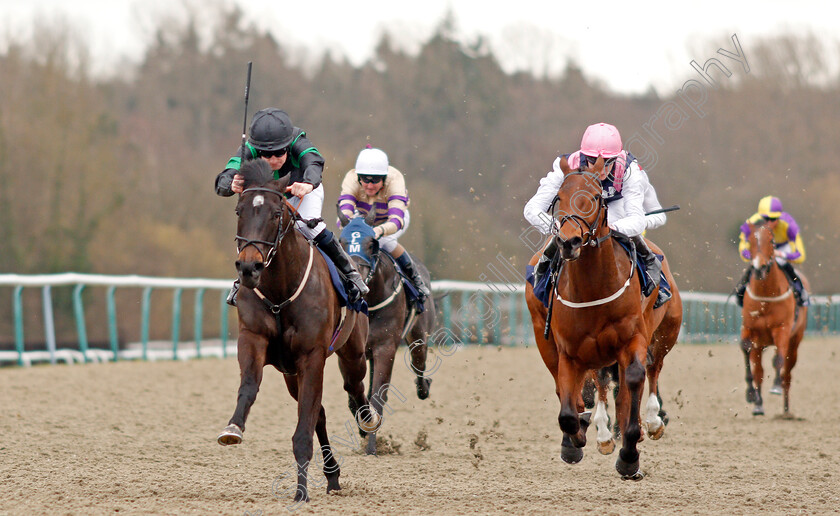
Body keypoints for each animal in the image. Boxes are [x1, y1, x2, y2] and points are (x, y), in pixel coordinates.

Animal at [215, 159, 378, 502]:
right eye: (239, 210)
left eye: (277, 213)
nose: (249, 268)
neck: (280, 290)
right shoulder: (253, 339)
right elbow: (249, 386)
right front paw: (233, 428)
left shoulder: (312, 355)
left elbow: (304, 426)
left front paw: (301, 492)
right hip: (291, 373)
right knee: (320, 412)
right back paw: (332, 475)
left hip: (352, 352)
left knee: (354, 389)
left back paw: (367, 421)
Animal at [338, 208, 436, 454]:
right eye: (341, 242)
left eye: (372, 243)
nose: (355, 279)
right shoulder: (350, 351)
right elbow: (354, 396)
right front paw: (364, 428)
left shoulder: (385, 347)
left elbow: (377, 397)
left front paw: (372, 445)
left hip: (419, 337)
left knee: (418, 365)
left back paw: (424, 387)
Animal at [524, 156, 656, 480]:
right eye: (558, 197)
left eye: (596, 197)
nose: (568, 242)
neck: (593, 287)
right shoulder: (569, 352)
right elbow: (568, 412)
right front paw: (575, 440)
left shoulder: (633, 339)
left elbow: (633, 381)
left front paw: (629, 456)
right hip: (546, 341)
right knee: (568, 392)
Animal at [740, 221, 808, 416]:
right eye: (750, 240)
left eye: (771, 240)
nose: (759, 268)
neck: (765, 298)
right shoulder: (749, 328)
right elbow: (745, 348)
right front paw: (751, 395)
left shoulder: (782, 329)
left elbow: (779, 358)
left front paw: (776, 386)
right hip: (760, 343)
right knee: (760, 371)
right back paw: (758, 404)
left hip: (795, 340)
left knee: (787, 372)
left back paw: (786, 409)